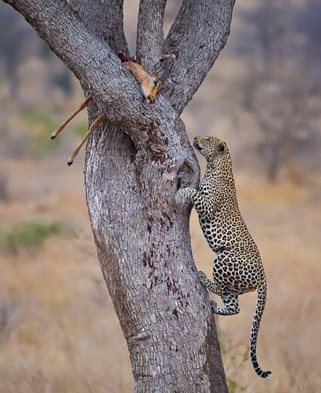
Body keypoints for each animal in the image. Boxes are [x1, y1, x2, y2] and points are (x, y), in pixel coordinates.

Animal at [175, 135, 270, 376]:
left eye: (208, 139)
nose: (196, 137)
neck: (217, 166)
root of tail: (264, 277)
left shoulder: (207, 205)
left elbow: (193, 192)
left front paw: (179, 193)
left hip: (223, 258)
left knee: (220, 288)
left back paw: (202, 277)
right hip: (236, 283)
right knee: (234, 307)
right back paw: (213, 305)